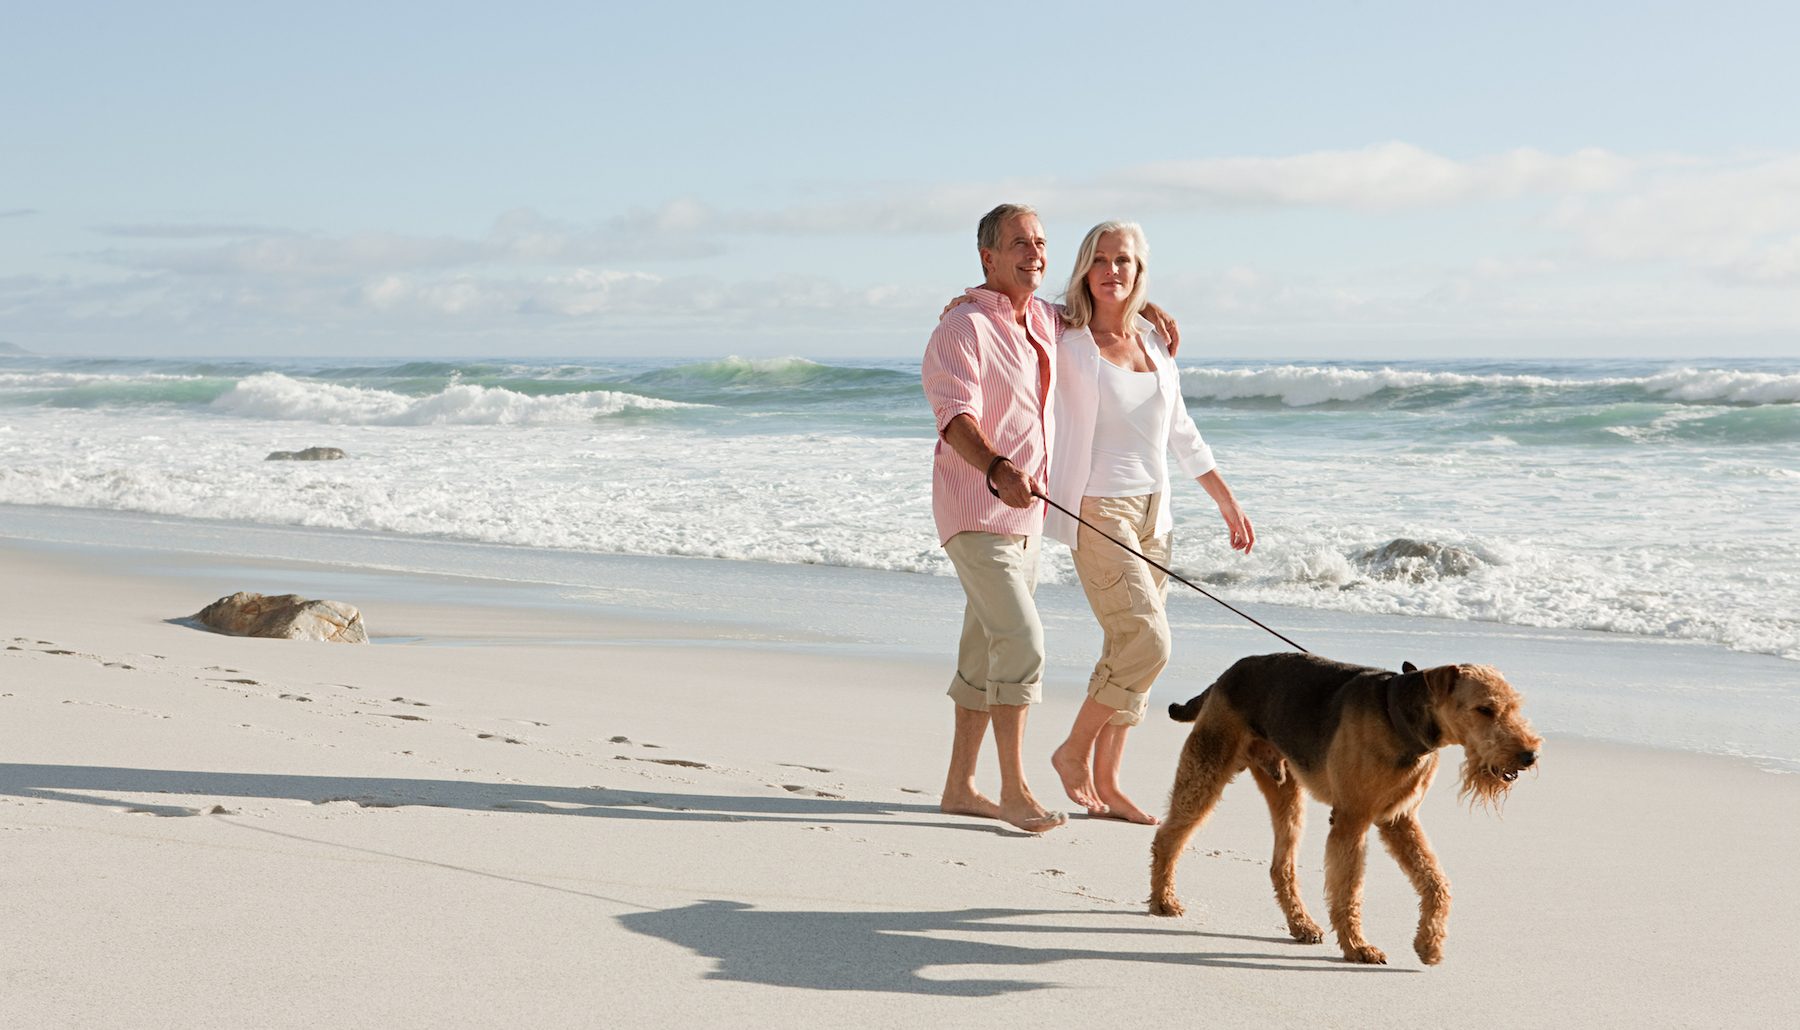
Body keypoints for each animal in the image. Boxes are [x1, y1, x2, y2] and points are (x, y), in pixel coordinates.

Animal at [1144, 651, 1540, 965]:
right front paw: (1358, 948)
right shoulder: (1353, 818)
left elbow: (1436, 882)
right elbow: (1350, 890)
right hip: (1207, 768)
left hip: (1285, 789)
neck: (1400, 719)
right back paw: (1164, 902)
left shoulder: (1399, 819)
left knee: (1280, 866)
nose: (1529, 755)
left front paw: (1429, 946)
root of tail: (1226, 675)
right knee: (1168, 836)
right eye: (1484, 709)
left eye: (1514, 706)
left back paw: (1302, 925)